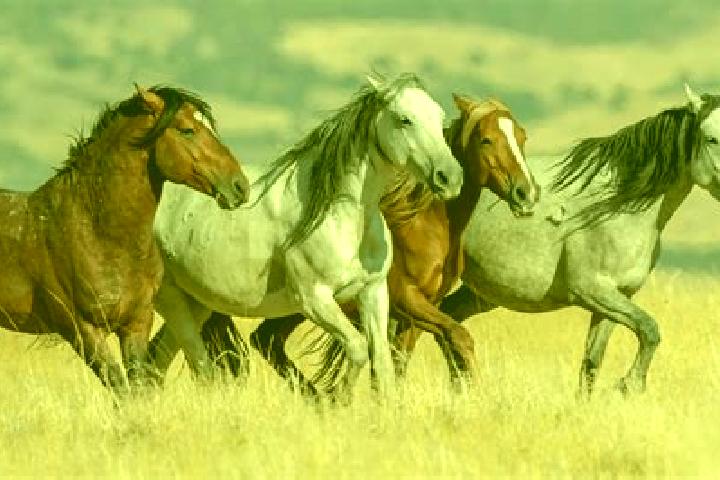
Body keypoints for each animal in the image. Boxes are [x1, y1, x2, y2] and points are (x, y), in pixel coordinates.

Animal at [0, 85, 249, 395]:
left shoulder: (136, 323)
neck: (99, 235)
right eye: (187, 130)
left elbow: (137, 387)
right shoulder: (82, 330)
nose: (240, 186)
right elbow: (121, 389)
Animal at [147, 73, 464, 398]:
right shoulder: (314, 299)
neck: (342, 217)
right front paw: (337, 399)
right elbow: (358, 348)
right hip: (171, 299)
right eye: (404, 119)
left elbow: (382, 365)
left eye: (440, 118)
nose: (449, 177)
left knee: (158, 357)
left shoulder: (373, 293)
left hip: (197, 302)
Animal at [232, 94, 539, 394]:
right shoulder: (406, 298)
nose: (525, 193)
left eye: (522, 137)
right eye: (485, 139)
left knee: (266, 339)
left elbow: (400, 361)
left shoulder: (420, 309)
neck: (425, 226)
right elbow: (458, 335)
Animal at [424, 83, 720, 396]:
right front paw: (630, 384)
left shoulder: (616, 298)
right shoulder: (592, 291)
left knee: (449, 320)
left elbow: (592, 363)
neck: (616, 205)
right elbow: (650, 329)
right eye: (711, 138)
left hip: (482, 293)